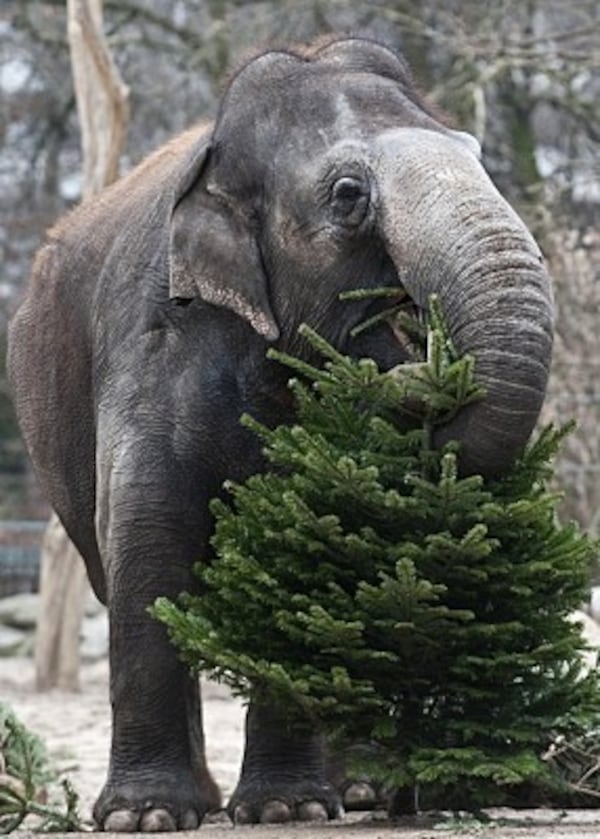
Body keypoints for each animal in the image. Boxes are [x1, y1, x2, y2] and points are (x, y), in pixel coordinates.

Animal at [8, 36, 552, 832]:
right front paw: (146, 816)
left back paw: (364, 793)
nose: (420, 353)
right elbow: (148, 536)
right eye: (350, 195)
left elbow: (313, 545)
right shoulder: (150, 346)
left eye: (478, 155)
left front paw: (285, 806)